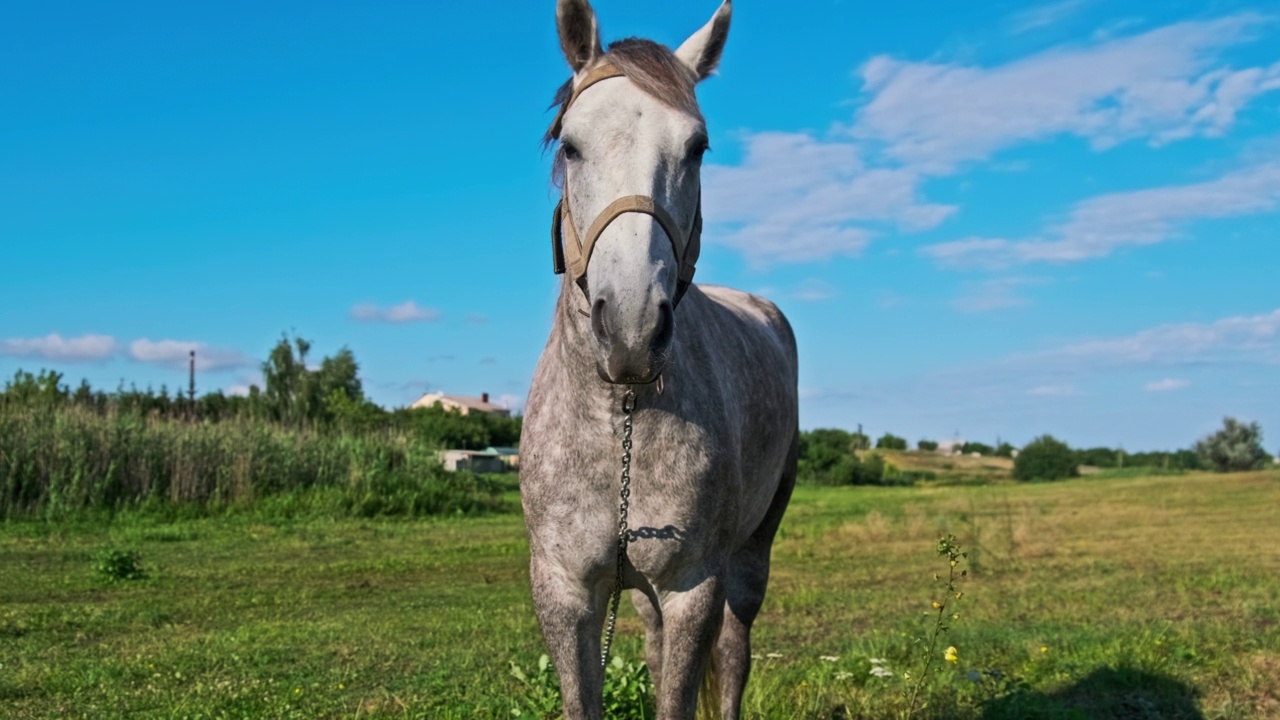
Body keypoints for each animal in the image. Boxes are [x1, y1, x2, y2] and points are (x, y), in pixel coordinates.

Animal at [519, 2, 798, 712]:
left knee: (735, 654)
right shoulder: (564, 594)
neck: (618, 417)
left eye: (697, 148)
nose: (632, 329)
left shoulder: (692, 589)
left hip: (751, 555)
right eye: (571, 145)